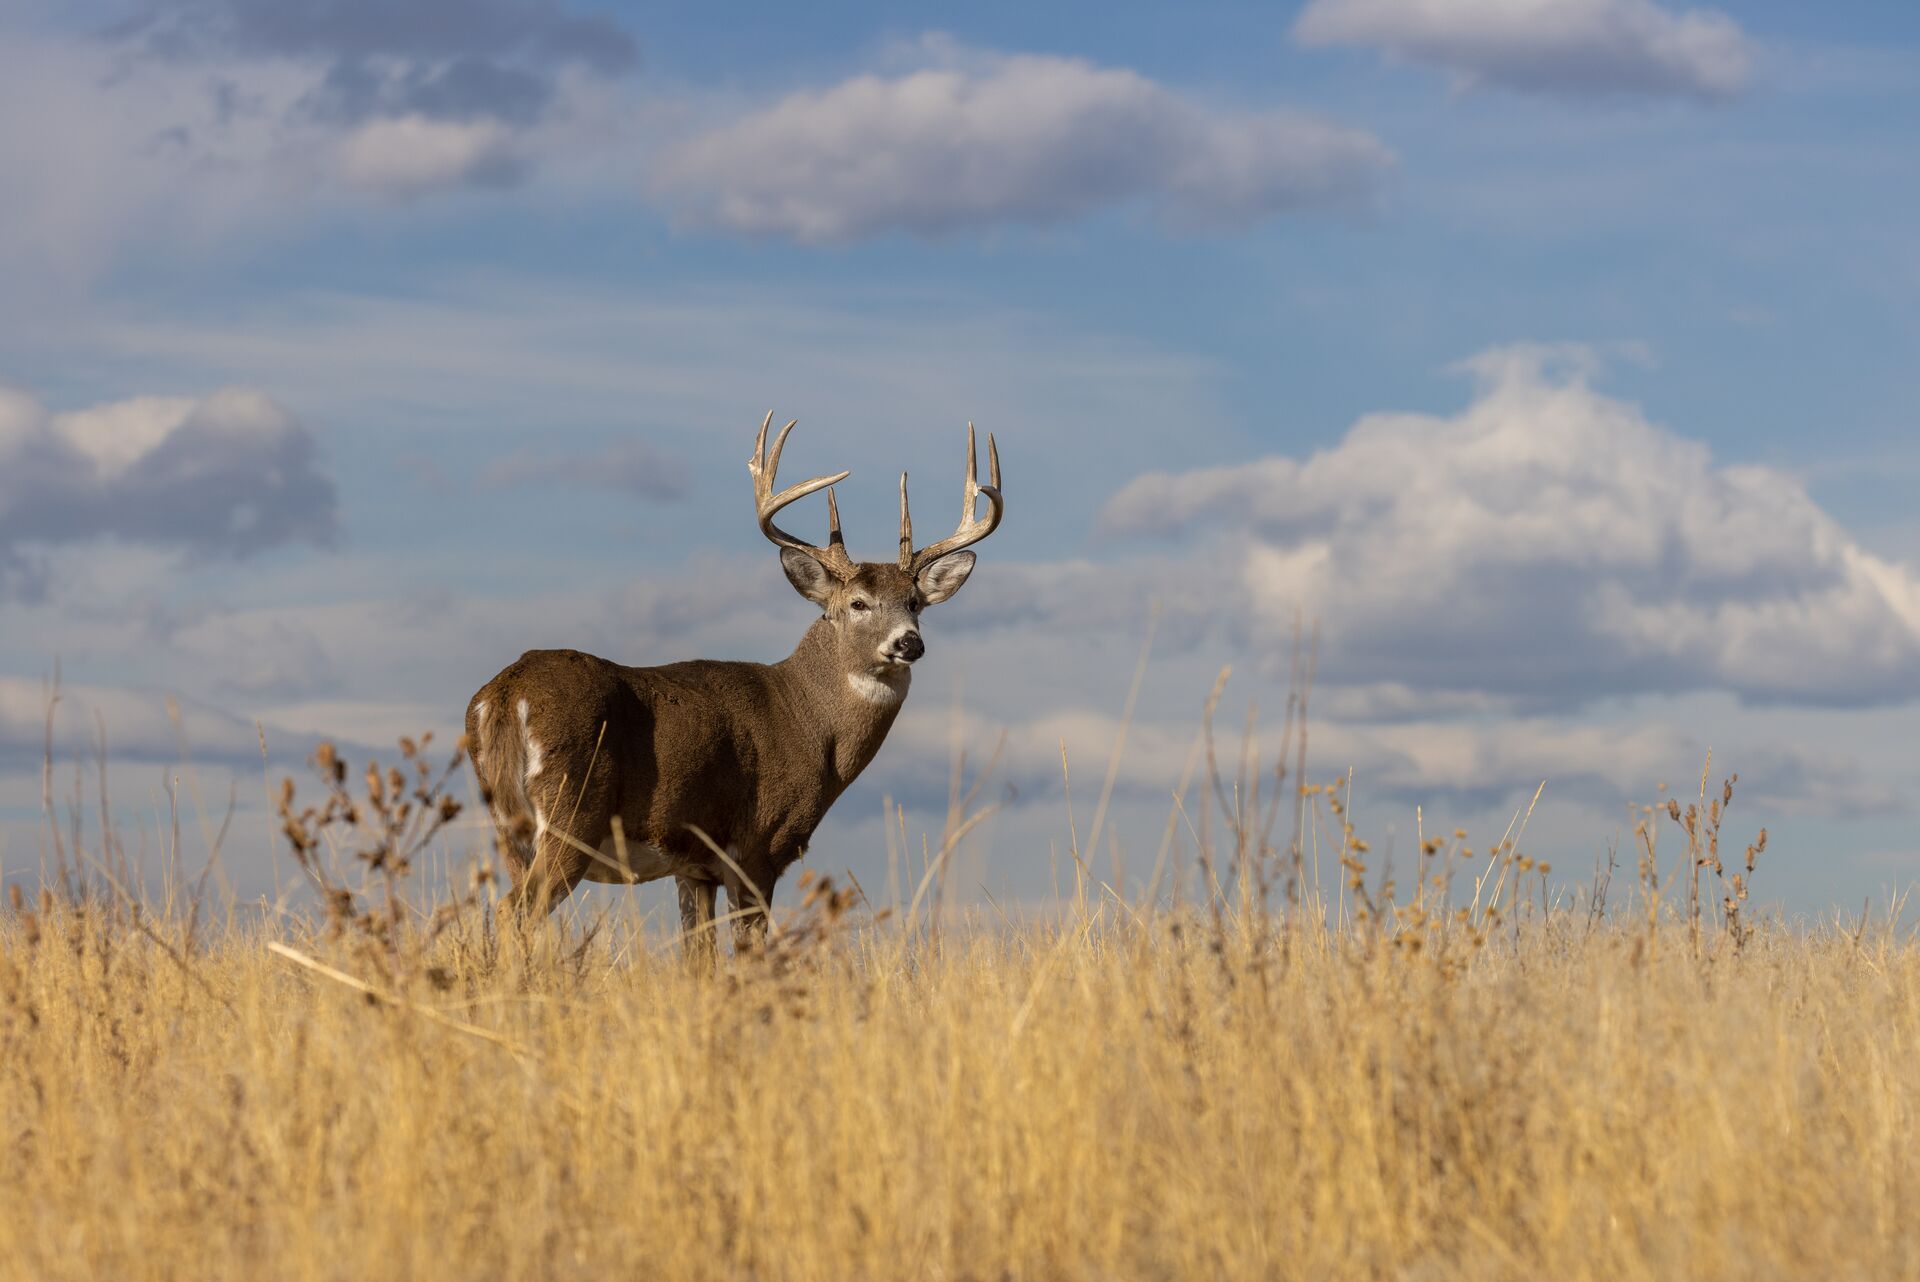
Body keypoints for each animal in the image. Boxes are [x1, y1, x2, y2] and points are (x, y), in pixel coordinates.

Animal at [466, 412, 1006, 959]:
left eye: (915, 603)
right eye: (857, 603)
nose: (909, 642)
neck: (808, 720)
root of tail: (505, 694)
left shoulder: (694, 866)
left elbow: (698, 956)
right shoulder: (759, 845)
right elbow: (748, 952)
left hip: (508, 825)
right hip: (571, 812)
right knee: (516, 910)